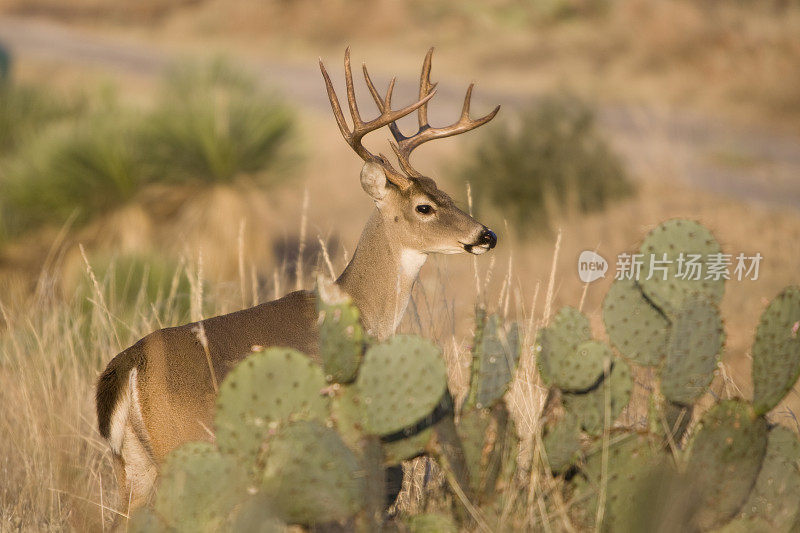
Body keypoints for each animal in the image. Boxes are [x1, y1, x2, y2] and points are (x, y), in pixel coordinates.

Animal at [97, 47, 496, 512]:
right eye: (424, 207)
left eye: (446, 194)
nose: (486, 235)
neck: (361, 314)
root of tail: (127, 368)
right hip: (182, 446)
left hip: (132, 465)